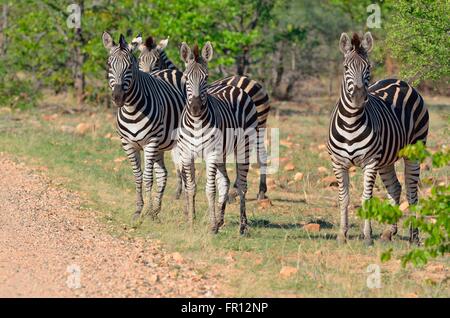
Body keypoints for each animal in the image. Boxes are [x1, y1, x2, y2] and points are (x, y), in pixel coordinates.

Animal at [102, 31, 185, 221]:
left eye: (130, 67)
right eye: (109, 65)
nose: (118, 97)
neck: (132, 109)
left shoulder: (150, 142)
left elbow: (148, 177)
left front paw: (146, 211)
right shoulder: (127, 144)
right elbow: (137, 176)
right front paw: (139, 210)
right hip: (161, 146)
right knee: (163, 174)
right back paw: (156, 211)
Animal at [131, 34, 270, 201]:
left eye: (156, 61)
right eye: (139, 60)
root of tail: (255, 82)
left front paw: (181, 190)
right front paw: (181, 189)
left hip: (258, 126)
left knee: (260, 155)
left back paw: (257, 191)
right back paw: (239, 191)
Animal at [178, 42, 258, 235]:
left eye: (206, 77)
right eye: (186, 77)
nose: (196, 108)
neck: (196, 123)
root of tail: (234, 87)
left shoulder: (211, 154)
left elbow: (210, 189)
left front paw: (212, 225)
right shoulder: (187, 154)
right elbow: (191, 187)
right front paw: (191, 222)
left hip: (244, 147)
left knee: (242, 185)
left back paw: (242, 226)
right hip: (222, 153)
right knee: (226, 182)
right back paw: (221, 221)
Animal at [326, 32, 428, 246]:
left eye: (369, 67)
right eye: (346, 67)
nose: (358, 97)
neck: (351, 122)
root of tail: (401, 81)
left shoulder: (370, 162)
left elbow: (366, 199)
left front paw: (366, 236)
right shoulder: (337, 163)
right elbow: (344, 198)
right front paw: (342, 235)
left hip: (414, 151)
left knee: (412, 193)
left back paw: (414, 237)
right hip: (386, 159)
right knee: (395, 187)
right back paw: (389, 232)